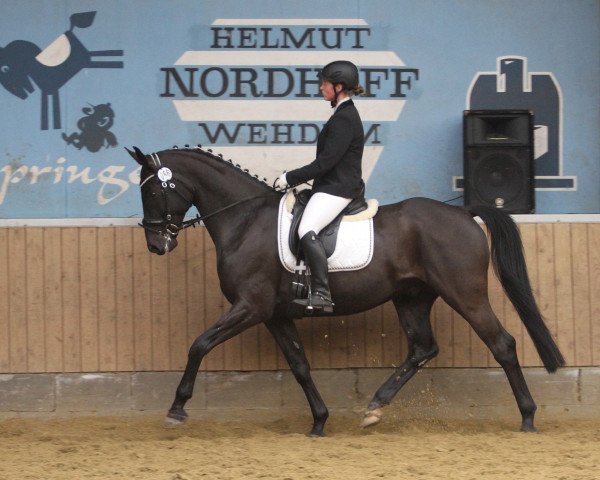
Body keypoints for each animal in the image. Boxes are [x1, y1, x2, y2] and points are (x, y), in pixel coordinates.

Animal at [126, 144, 564, 436]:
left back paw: (528, 417)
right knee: (422, 348)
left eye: (151, 190)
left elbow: (199, 344)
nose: (156, 244)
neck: (245, 219)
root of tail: (463, 212)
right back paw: (374, 407)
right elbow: (299, 365)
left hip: (466, 295)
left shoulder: (251, 306)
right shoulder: (275, 314)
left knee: (502, 344)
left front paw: (177, 408)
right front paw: (319, 421)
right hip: (411, 297)